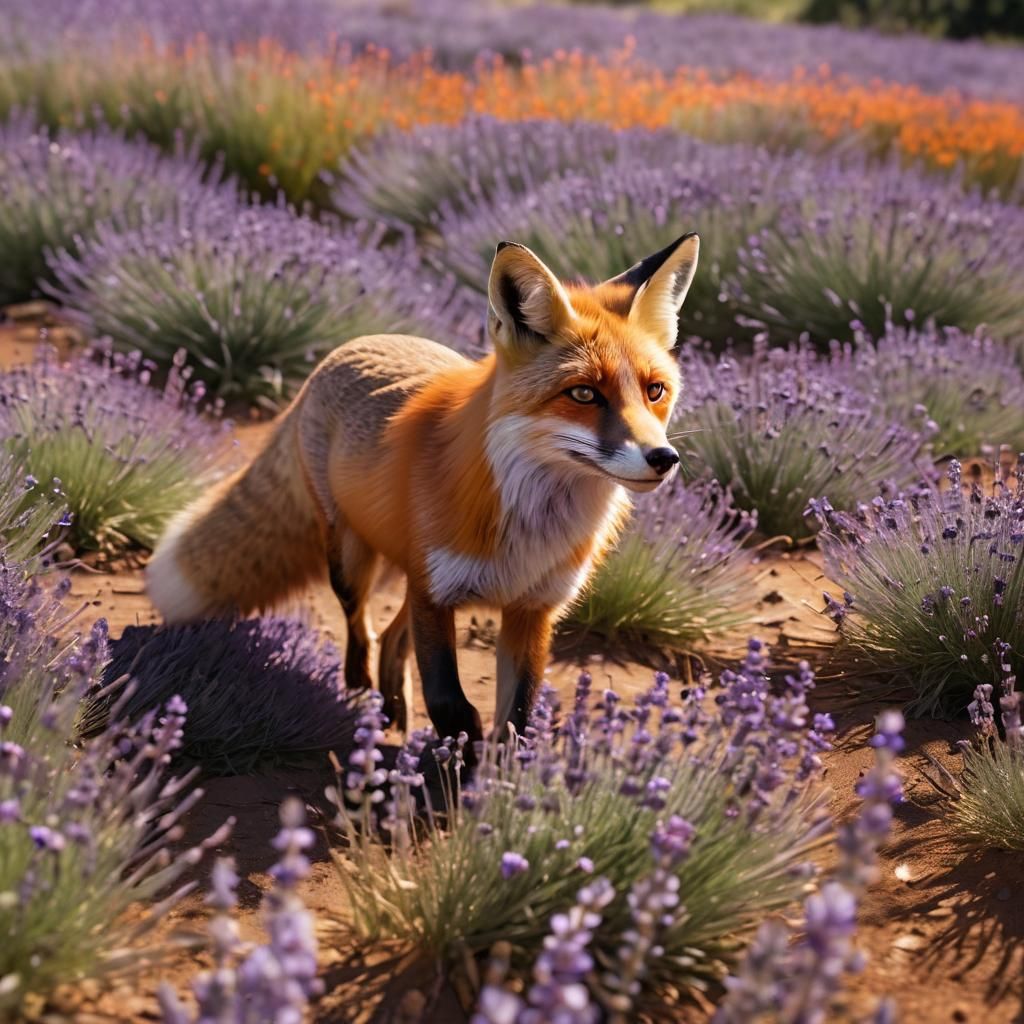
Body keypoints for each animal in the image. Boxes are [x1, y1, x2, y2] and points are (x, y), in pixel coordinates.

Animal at [146, 232, 699, 748]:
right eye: (583, 393)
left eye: (655, 391)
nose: (662, 459)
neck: (529, 527)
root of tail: (348, 346)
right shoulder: (435, 594)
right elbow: (449, 701)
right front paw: (457, 758)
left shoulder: (532, 609)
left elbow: (517, 716)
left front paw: (495, 777)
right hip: (352, 561)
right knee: (363, 630)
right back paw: (362, 696)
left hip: (408, 575)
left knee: (392, 636)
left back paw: (392, 702)